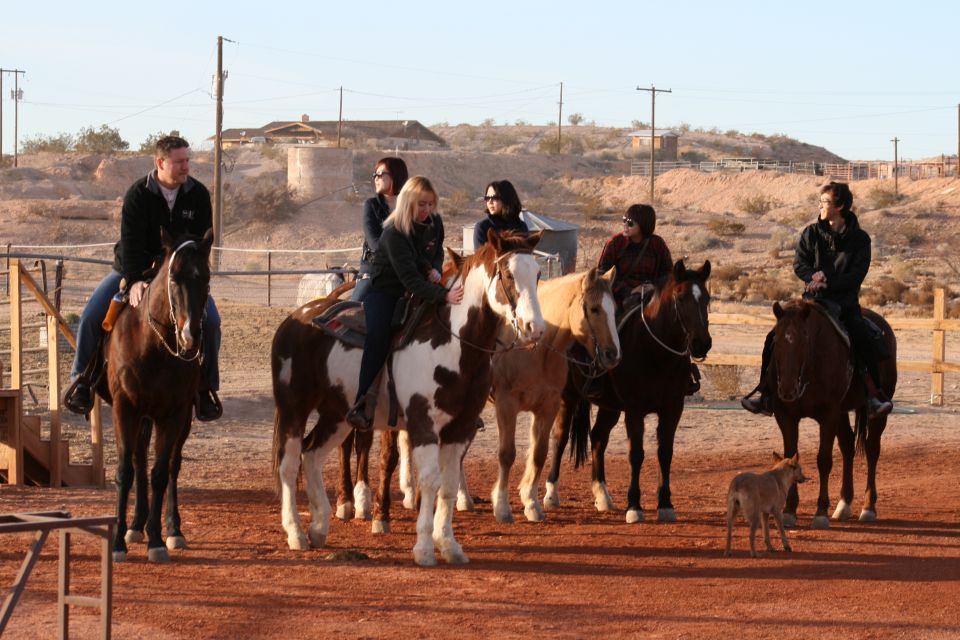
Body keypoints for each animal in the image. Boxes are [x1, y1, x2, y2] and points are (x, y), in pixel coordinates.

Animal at [97, 229, 214, 560]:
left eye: (207, 278)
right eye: (173, 277)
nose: (190, 335)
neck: (154, 347)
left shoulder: (173, 414)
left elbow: (161, 472)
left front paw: (158, 540)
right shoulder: (124, 409)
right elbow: (125, 471)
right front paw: (118, 542)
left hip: (177, 419)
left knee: (172, 466)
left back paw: (172, 529)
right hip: (140, 416)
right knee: (137, 463)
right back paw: (135, 526)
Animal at [270, 230, 544, 564]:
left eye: (538, 274)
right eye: (507, 274)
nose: (535, 328)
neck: (453, 344)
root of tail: (295, 318)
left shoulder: (461, 428)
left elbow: (448, 484)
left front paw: (449, 545)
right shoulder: (423, 423)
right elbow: (429, 479)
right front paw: (424, 548)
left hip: (337, 417)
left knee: (311, 454)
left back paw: (320, 527)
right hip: (293, 409)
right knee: (288, 464)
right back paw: (296, 533)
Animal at [488, 268, 624, 524]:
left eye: (615, 308)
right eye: (594, 309)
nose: (613, 355)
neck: (532, 348)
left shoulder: (549, 406)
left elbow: (539, 454)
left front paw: (531, 503)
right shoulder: (506, 406)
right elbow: (507, 454)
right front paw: (501, 507)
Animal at [548, 260, 712, 524]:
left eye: (706, 298)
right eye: (680, 297)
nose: (702, 343)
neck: (656, 353)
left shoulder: (672, 409)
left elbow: (665, 453)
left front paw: (665, 504)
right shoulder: (635, 411)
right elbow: (636, 454)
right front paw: (634, 506)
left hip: (610, 407)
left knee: (598, 438)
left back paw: (602, 495)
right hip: (568, 398)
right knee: (560, 437)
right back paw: (551, 494)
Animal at [760, 300, 896, 528]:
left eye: (804, 339)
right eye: (776, 340)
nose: (787, 389)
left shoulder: (828, 415)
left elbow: (824, 460)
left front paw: (820, 513)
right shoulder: (786, 415)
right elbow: (790, 456)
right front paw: (789, 511)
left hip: (876, 413)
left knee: (872, 449)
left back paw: (868, 508)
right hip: (841, 413)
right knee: (848, 447)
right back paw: (844, 504)